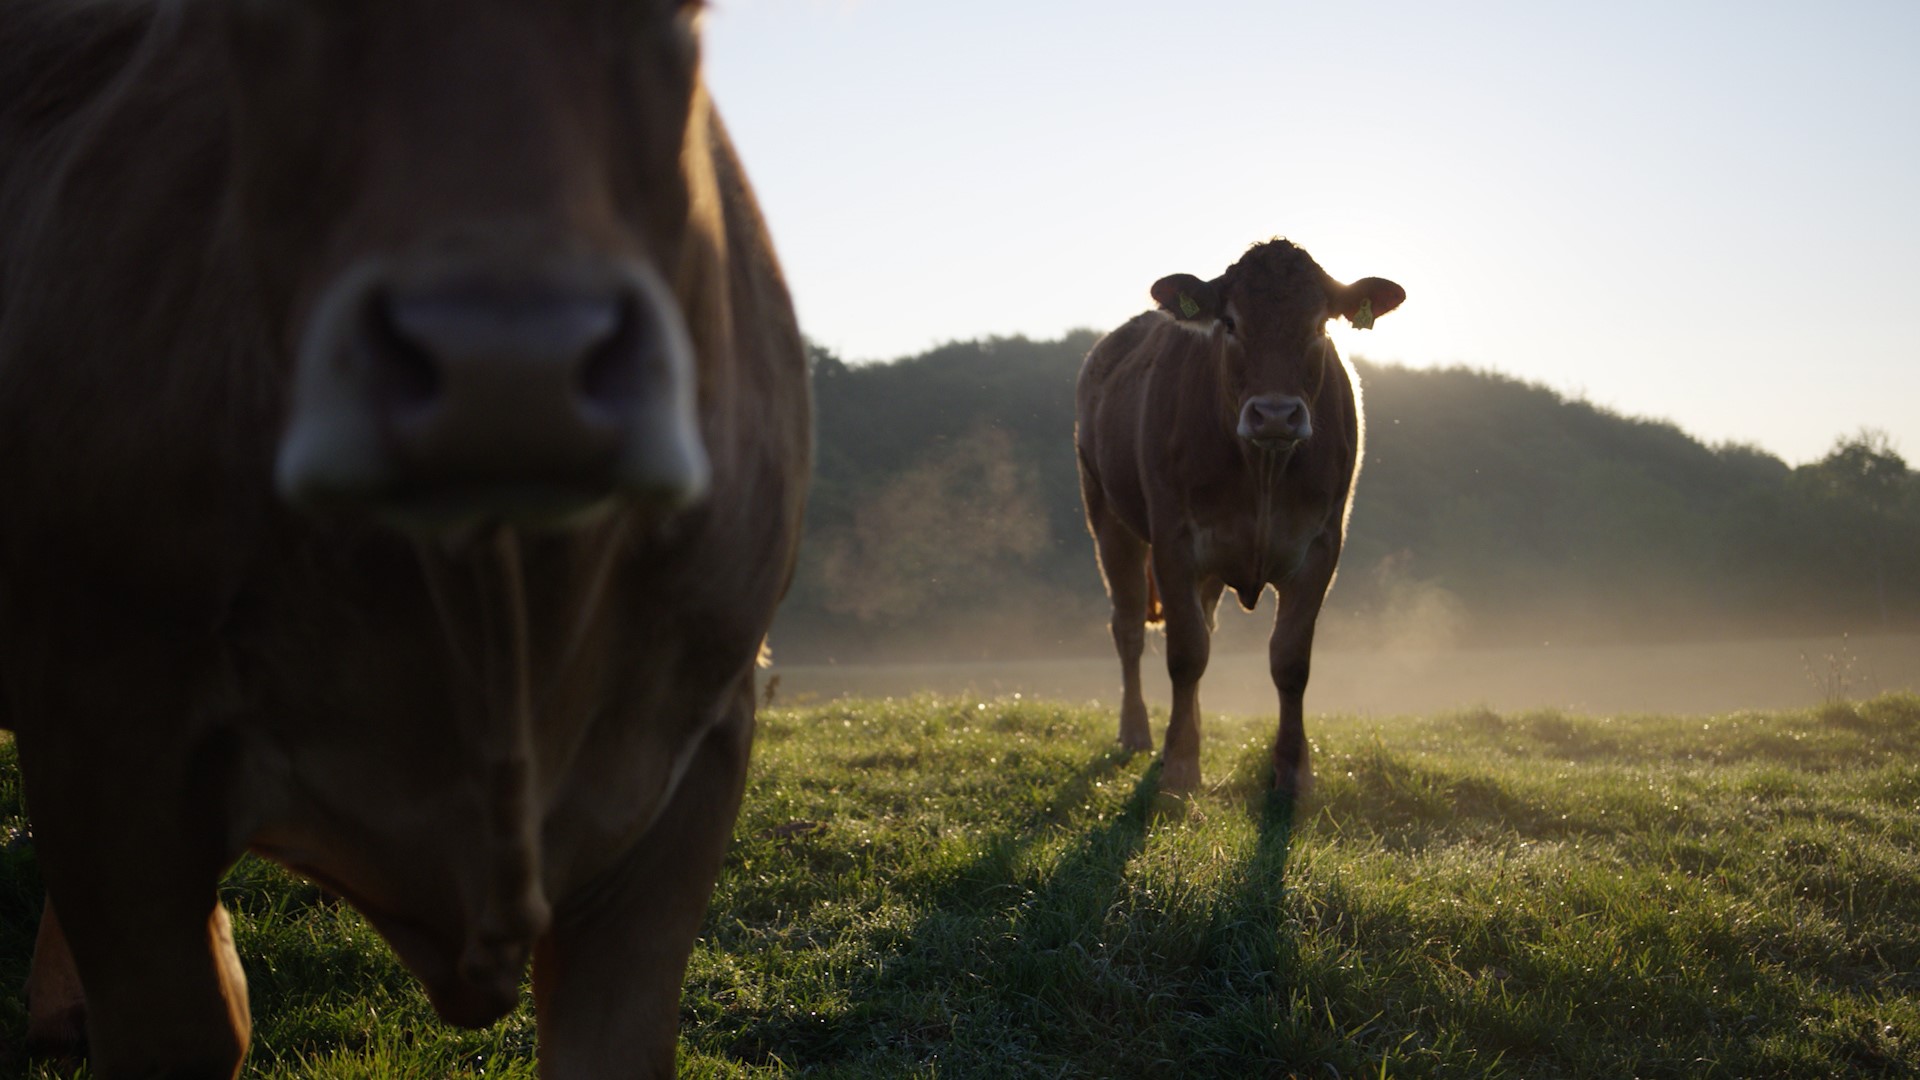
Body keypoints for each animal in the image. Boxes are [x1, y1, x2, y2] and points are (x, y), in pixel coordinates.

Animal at [1075, 240, 1402, 799]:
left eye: (1320, 324)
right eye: (1229, 322)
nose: (1275, 415)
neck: (1262, 471)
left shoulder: (1320, 546)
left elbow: (1290, 661)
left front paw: (1293, 772)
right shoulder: (1175, 541)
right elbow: (1185, 654)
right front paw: (1181, 768)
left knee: (1203, 625)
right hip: (1107, 514)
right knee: (1130, 627)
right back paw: (1138, 731)